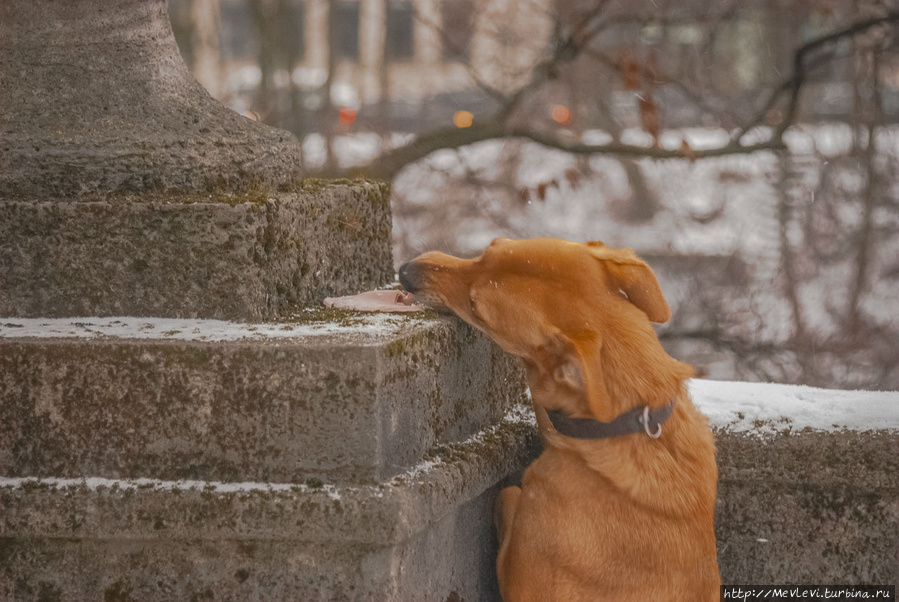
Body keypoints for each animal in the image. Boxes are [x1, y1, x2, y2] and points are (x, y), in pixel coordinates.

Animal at [400, 238, 716, 600]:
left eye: (476, 306)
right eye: (488, 249)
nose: (405, 272)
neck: (628, 423)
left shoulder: (525, 578)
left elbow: (509, 495)